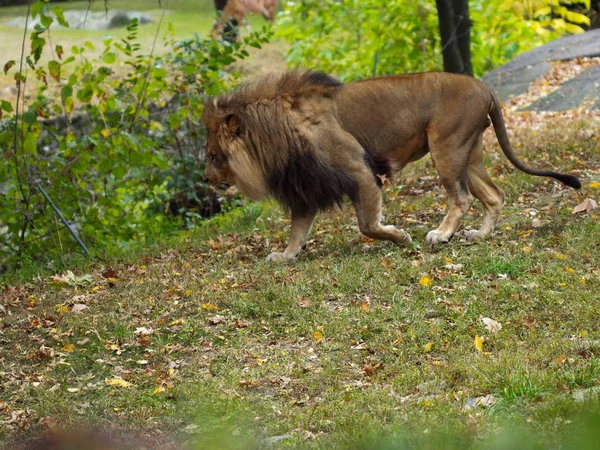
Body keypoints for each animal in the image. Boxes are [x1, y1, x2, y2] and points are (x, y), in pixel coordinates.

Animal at [203, 68, 580, 262]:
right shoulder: (308, 185)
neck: (275, 132)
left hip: (446, 147)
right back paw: (478, 235)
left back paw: (442, 234)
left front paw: (400, 238)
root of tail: (485, 87)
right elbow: (298, 230)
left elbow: (368, 225)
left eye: (212, 155)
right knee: (493, 195)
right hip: (469, 153)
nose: (206, 179)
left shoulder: (357, 170)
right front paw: (285, 256)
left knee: (461, 198)